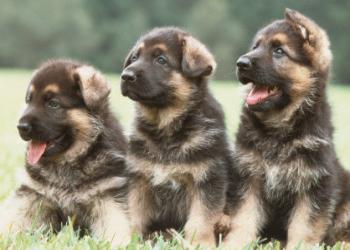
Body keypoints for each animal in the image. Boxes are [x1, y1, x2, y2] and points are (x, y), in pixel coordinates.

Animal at [0, 59, 131, 246]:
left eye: (53, 104)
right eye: (29, 101)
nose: (21, 127)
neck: (67, 161)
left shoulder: (108, 196)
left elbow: (116, 225)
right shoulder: (32, 195)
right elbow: (11, 219)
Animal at [119, 27, 232, 246]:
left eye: (161, 60)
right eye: (135, 57)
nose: (126, 76)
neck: (166, 128)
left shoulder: (207, 179)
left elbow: (199, 222)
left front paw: (201, 244)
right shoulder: (138, 179)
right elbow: (133, 215)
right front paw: (128, 240)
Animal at [221, 8, 350, 250]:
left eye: (279, 51)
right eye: (256, 46)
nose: (240, 63)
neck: (279, 129)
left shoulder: (313, 185)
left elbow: (304, 227)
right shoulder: (249, 178)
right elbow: (243, 219)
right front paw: (234, 244)